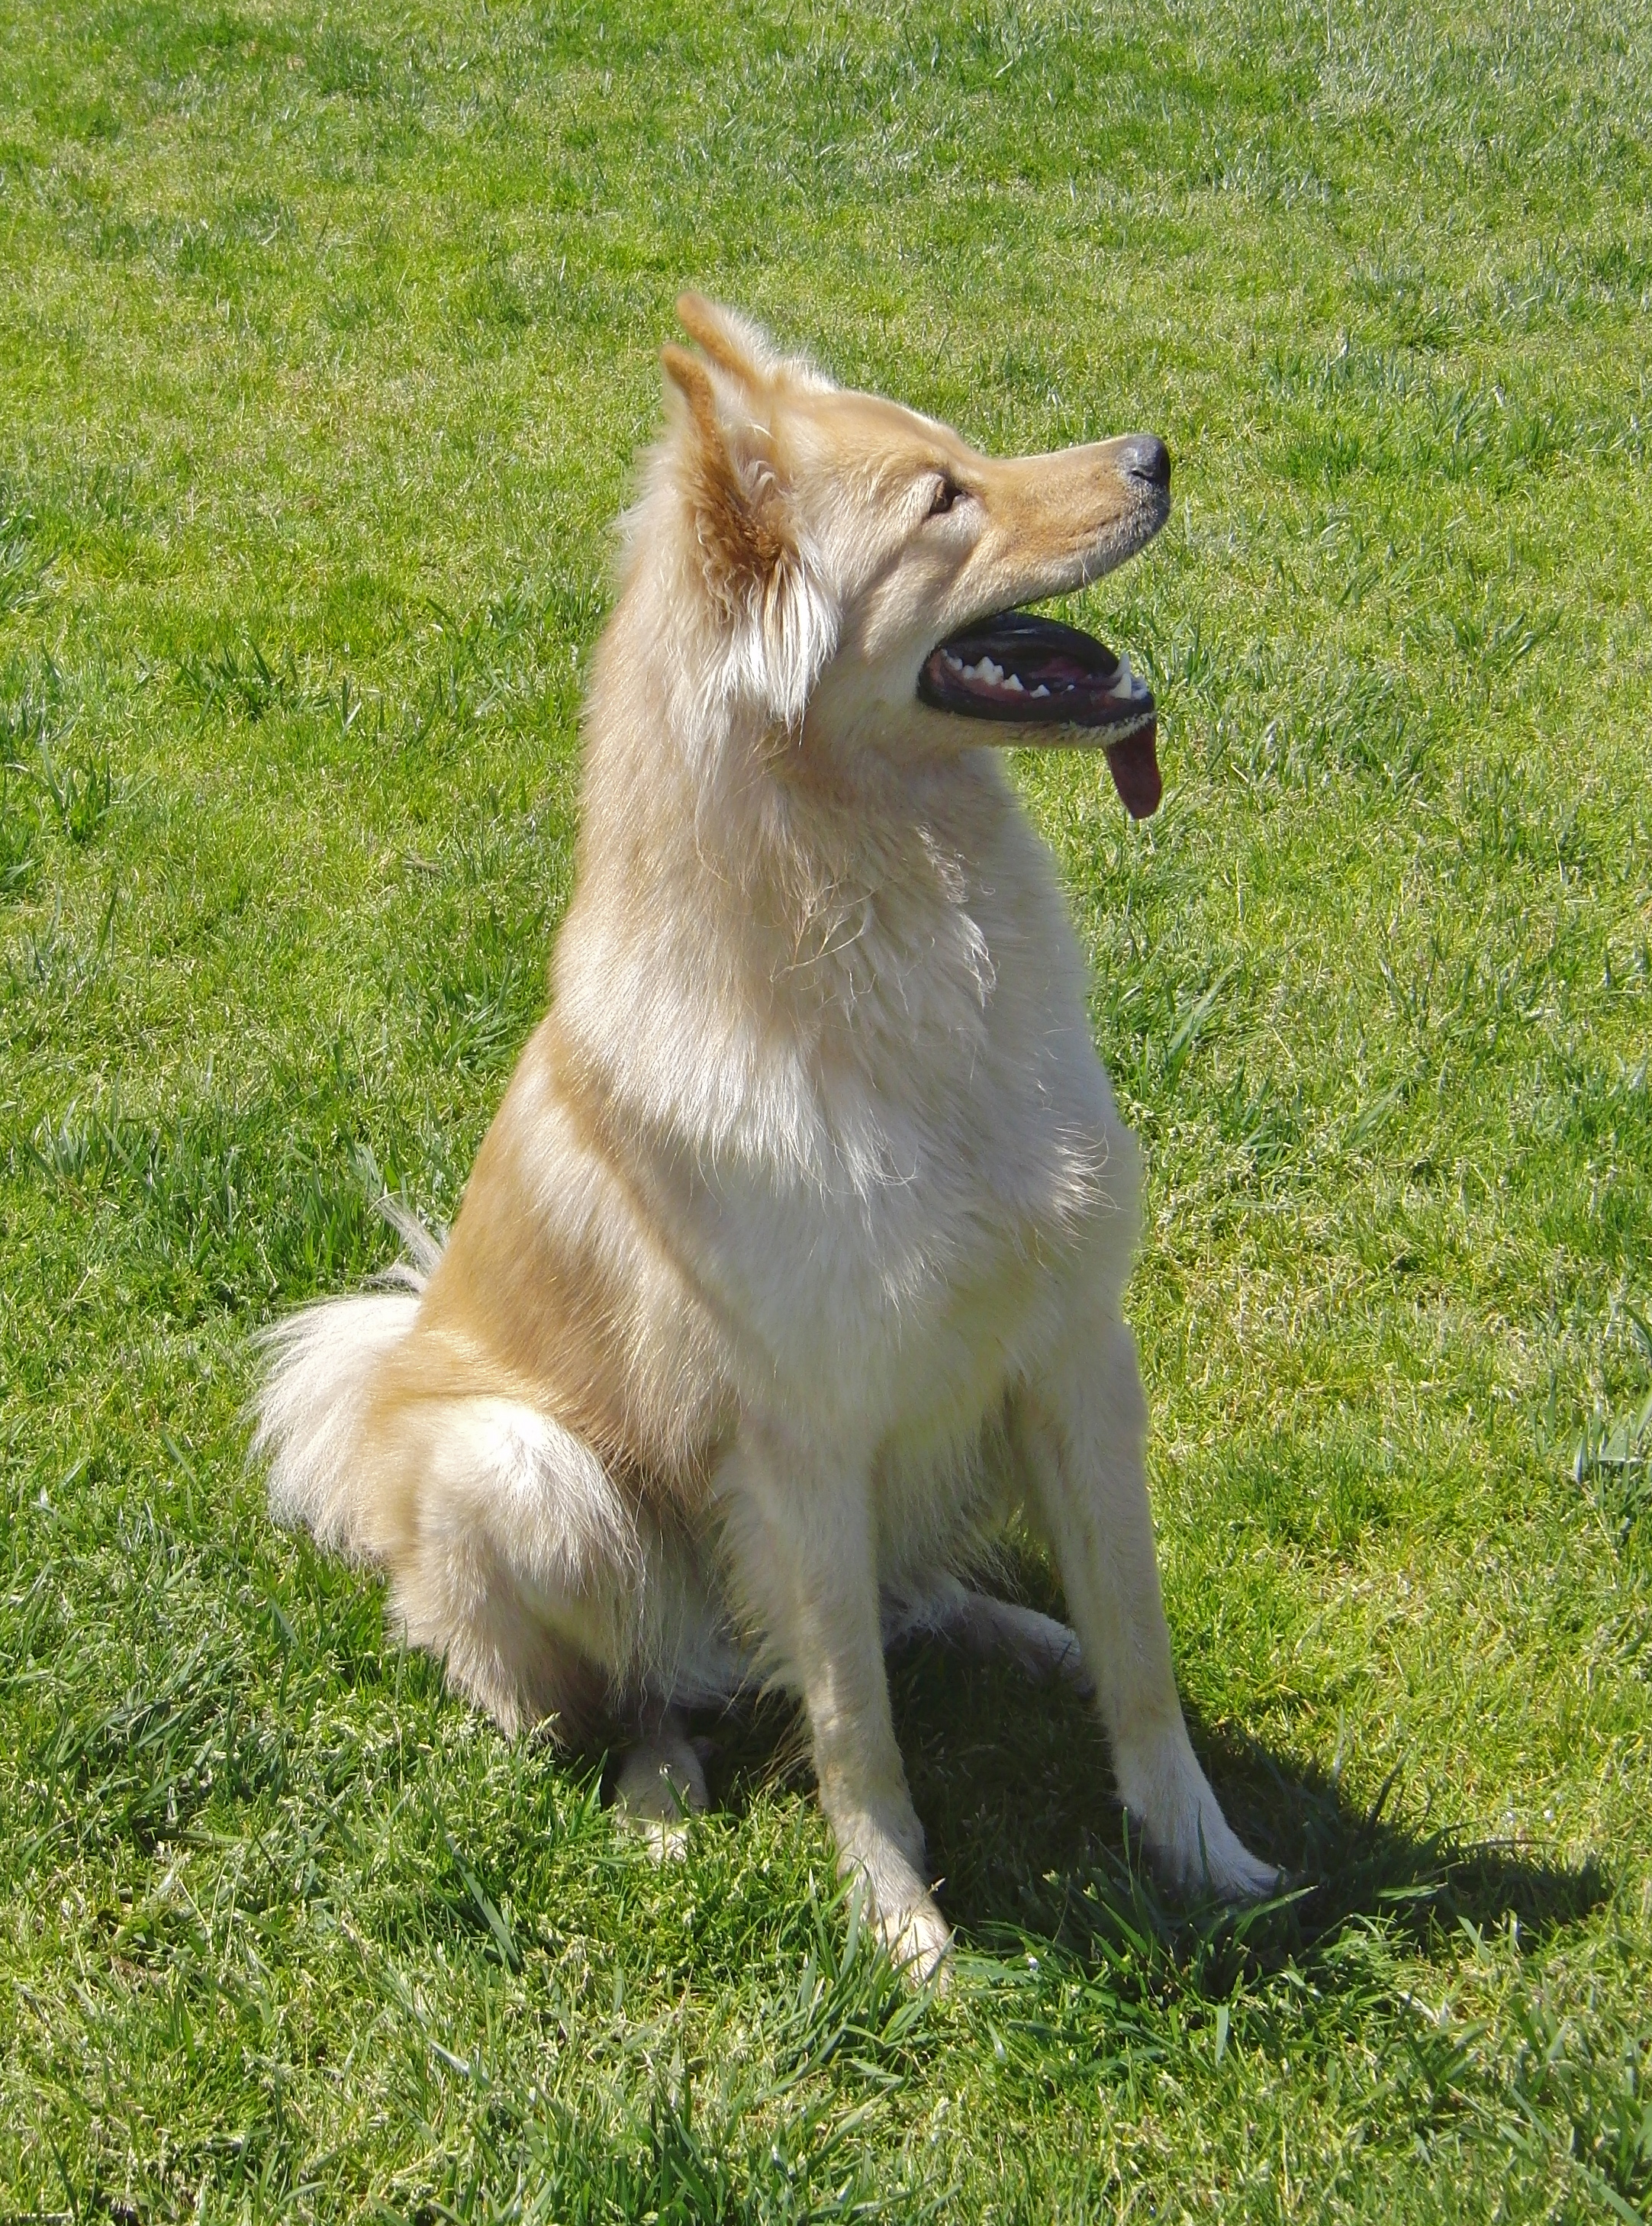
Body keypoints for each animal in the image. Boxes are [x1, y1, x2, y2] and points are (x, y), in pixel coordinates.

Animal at [255, 294, 1276, 1976]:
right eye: (941, 502)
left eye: (969, 449)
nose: (1154, 454)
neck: (893, 937)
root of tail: (378, 1405)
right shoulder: (797, 1443)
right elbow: (854, 1723)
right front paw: (906, 1933)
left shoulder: (1073, 1351)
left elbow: (1139, 1652)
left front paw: (1209, 1859)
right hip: (529, 1475)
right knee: (636, 1692)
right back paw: (659, 1794)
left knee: (908, 1607)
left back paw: (1012, 1627)